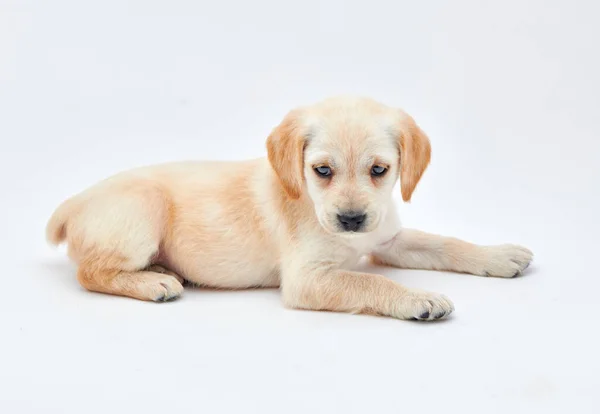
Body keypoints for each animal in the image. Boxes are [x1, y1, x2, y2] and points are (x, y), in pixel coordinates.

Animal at [48, 96, 536, 320]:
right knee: (90, 272)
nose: (352, 220)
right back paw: (154, 283)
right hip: (142, 209)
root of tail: (75, 201)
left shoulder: (388, 239)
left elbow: (443, 243)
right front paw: (418, 297)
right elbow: (370, 282)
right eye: (322, 170)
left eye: (380, 170)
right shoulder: (309, 280)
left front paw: (498, 255)